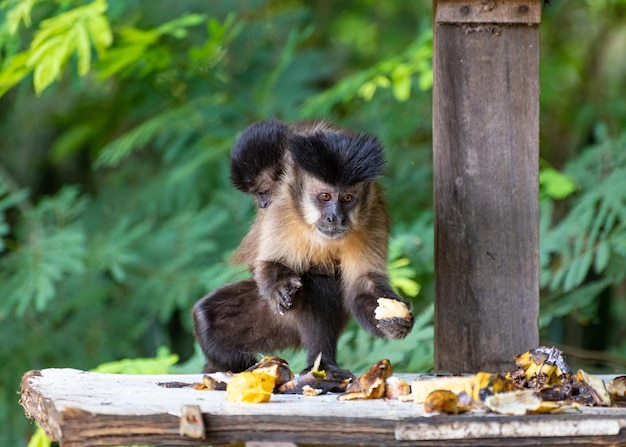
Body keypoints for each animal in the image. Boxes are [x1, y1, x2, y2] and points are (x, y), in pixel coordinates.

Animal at [193, 121, 412, 380]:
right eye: (325, 196)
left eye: (348, 198)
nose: (335, 217)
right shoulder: (283, 204)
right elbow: (267, 264)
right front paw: (279, 284)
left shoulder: (372, 211)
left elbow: (364, 283)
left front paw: (393, 322)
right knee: (206, 317)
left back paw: (322, 364)